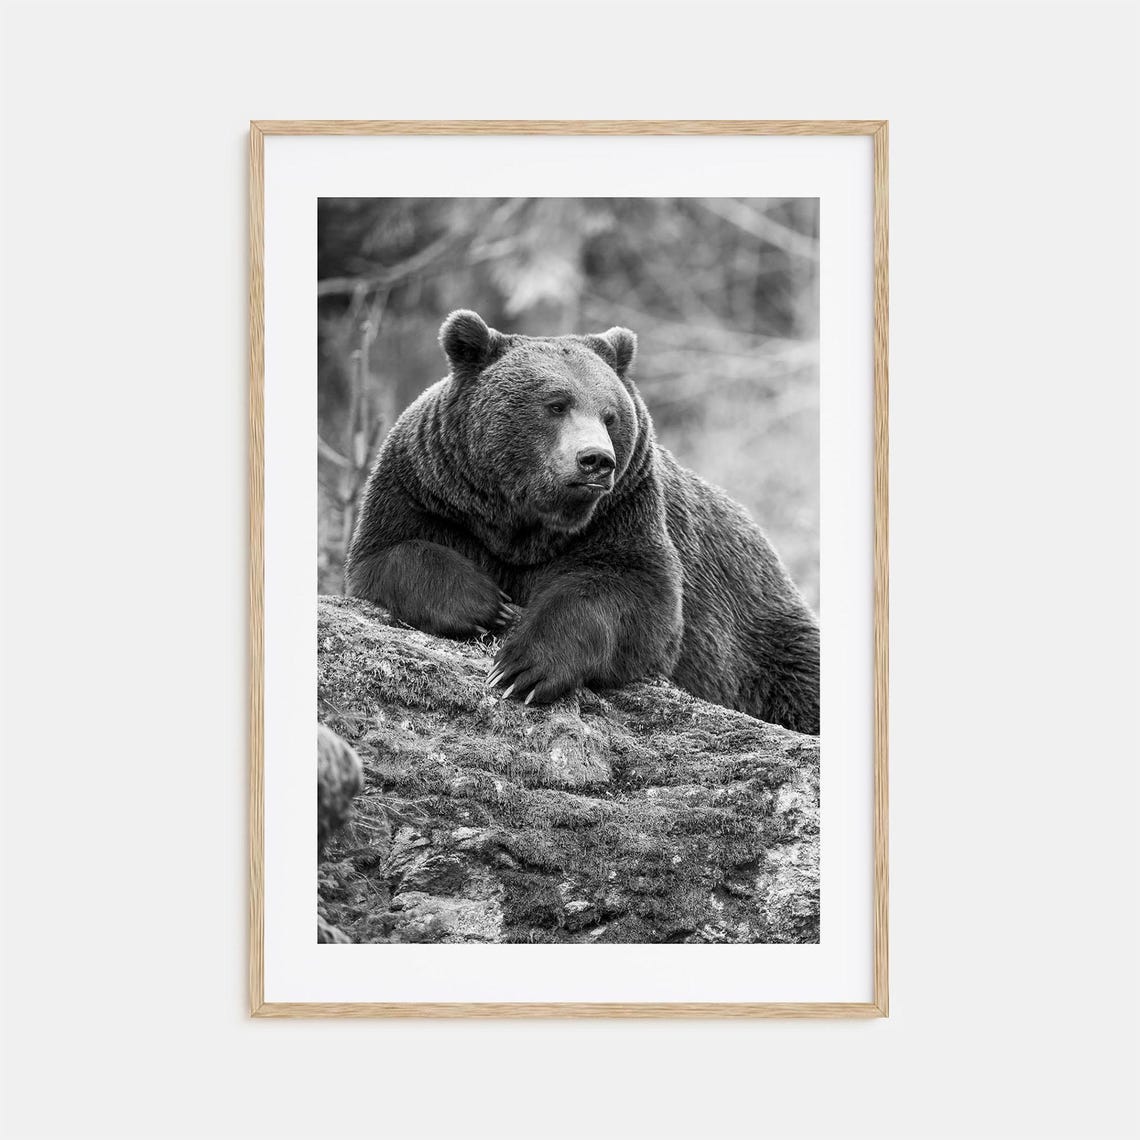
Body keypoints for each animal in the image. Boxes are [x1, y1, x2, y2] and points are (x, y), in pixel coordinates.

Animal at [344, 310, 820, 735]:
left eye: (610, 414)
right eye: (556, 404)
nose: (596, 459)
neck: (524, 523)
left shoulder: (622, 512)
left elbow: (631, 595)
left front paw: (523, 668)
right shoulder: (427, 490)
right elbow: (390, 553)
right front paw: (487, 604)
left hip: (760, 635)